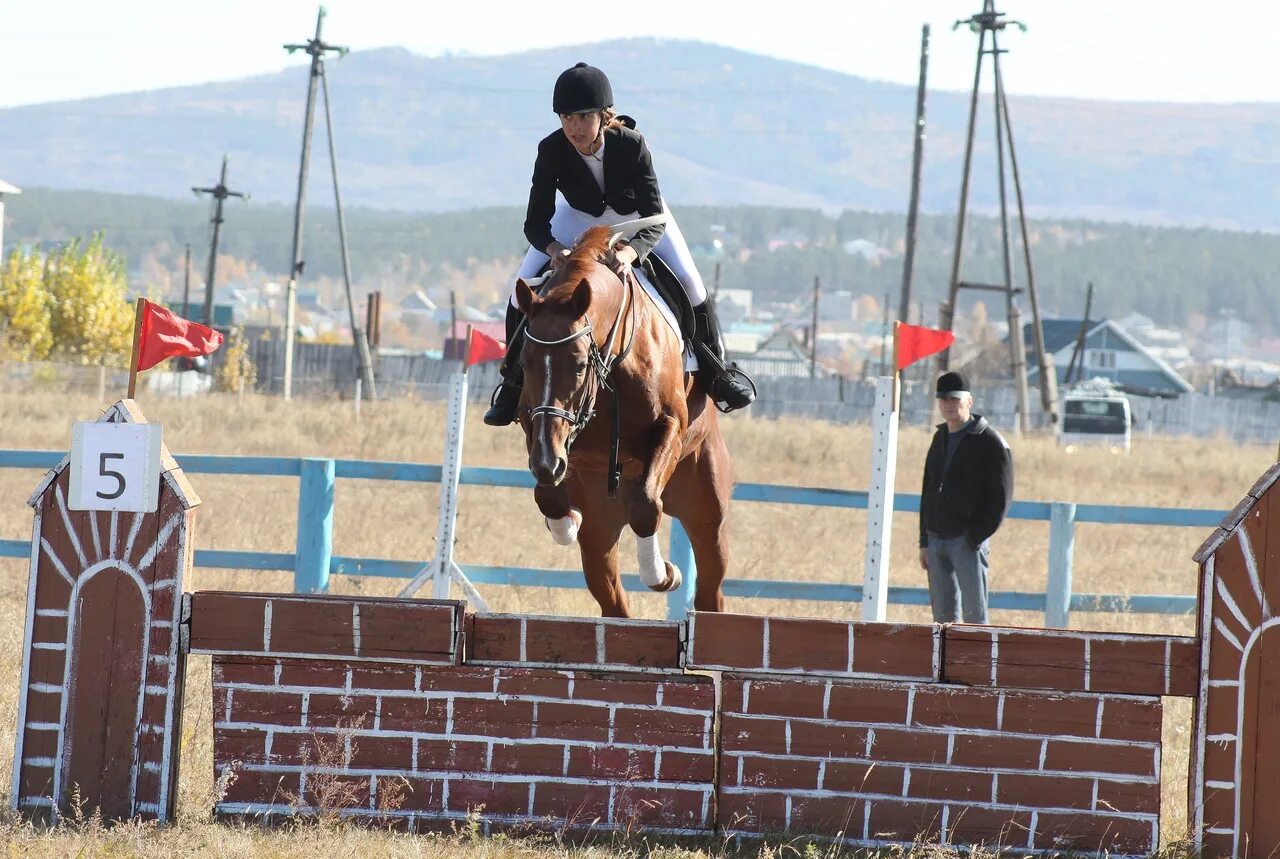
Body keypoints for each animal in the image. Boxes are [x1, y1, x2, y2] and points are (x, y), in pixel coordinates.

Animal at [509, 225, 732, 614]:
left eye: (579, 365)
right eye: (525, 360)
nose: (549, 463)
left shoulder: (670, 427)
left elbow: (645, 505)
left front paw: (663, 574)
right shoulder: (538, 427)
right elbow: (547, 496)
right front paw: (566, 521)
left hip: (706, 510)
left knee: (710, 588)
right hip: (603, 524)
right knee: (612, 597)